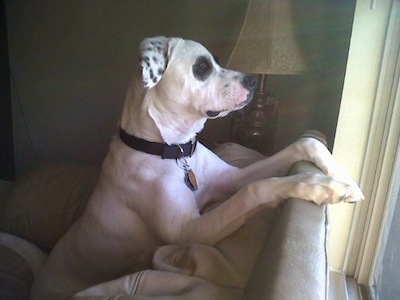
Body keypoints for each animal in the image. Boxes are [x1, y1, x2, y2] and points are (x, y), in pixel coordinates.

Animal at [29, 36, 364, 298]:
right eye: (202, 67)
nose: (252, 81)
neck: (175, 150)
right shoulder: (190, 229)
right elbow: (257, 189)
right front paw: (319, 186)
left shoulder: (232, 178)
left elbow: (304, 144)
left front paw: (342, 177)